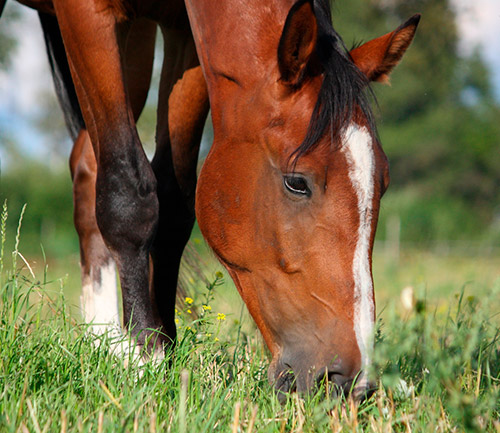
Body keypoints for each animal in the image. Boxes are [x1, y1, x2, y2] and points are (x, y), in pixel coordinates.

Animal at [1, 0, 420, 398]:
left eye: (382, 182)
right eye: (297, 182)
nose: (351, 382)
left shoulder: (184, 37)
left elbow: (173, 203)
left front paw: (162, 350)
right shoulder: (87, 14)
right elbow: (128, 194)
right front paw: (143, 361)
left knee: (87, 165)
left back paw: (103, 342)